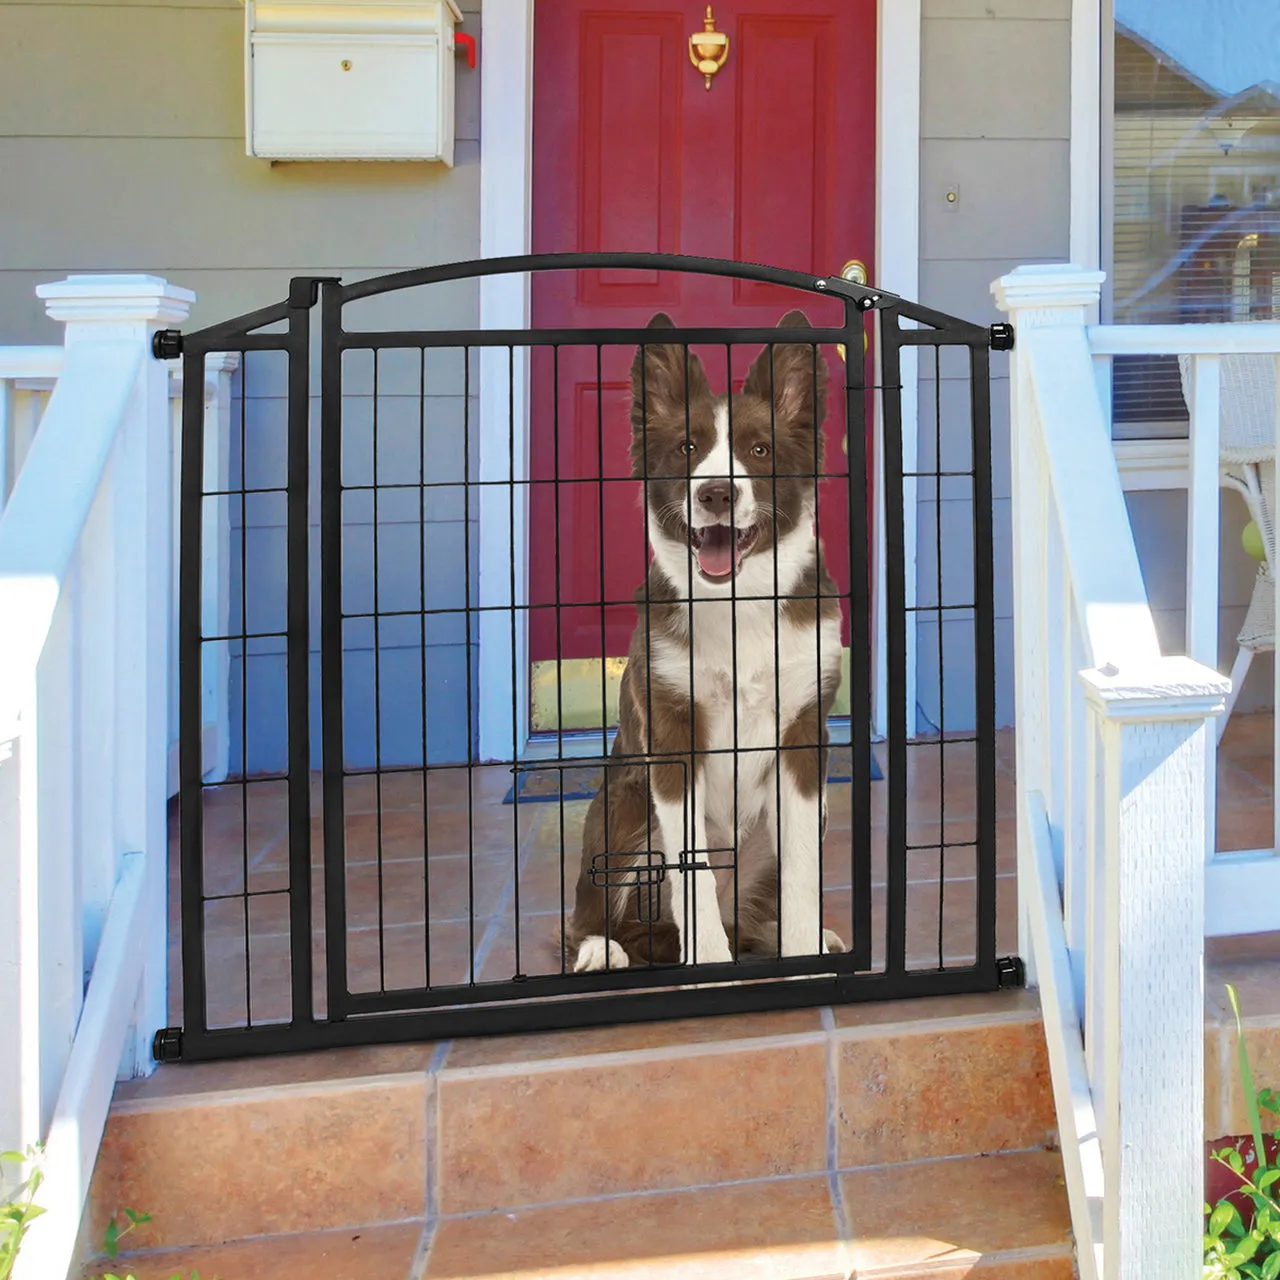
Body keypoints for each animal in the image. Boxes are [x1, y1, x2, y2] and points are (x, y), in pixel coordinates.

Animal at [565, 309, 844, 967]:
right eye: (687, 449)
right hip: (624, 805)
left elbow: (802, 869)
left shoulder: (804, 734)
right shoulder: (672, 733)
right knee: (603, 912)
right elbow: (689, 873)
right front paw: (710, 966)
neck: (738, 603)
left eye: (760, 450)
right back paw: (602, 948)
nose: (716, 493)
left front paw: (803, 948)